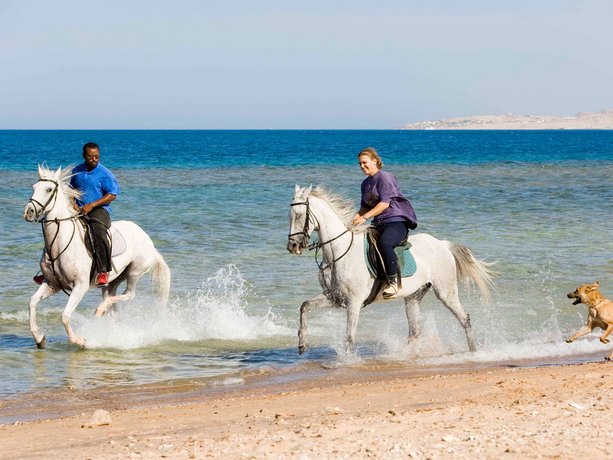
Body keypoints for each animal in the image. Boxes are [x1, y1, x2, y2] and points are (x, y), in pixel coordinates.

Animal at [23, 165, 171, 348]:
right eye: (34, 188)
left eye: (49, 189)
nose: (28, 212)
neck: (59, 243)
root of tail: (148, 240)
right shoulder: (52, 284)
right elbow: (32, 302)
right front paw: (39, 338)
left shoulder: (80, 286)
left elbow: (65, 316)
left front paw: (80, 340)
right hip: (113, 280)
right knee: (112, 303)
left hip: (134, 272)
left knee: (129, 294)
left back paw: (100, 311)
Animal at [286, 185, 492, 354]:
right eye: (290, 216)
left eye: (300, 215)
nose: (292, 246)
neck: (338, 252)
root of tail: (442, 244)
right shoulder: (334, 297)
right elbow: (305, 306)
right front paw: (302, 344)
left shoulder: (354, 302)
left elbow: (349, 338)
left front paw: (346, 361)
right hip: (413, 296)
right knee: (415, 331)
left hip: (445, 292)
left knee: (464, 319)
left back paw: (473, 351)